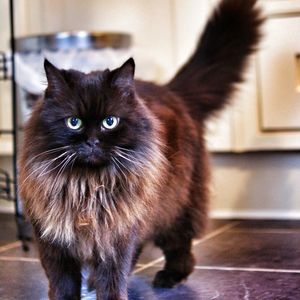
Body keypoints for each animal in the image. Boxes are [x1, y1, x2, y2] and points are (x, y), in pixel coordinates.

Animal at [19, 1, 262, 298]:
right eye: (73, 122)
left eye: (110, 122)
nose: (92, 141)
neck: (87, 185)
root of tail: (172, 91)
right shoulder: (54, 243)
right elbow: (63, 285)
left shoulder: (117, 237)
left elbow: (113, 281)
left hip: (177, 206)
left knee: (181, 247)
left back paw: (170, 277)